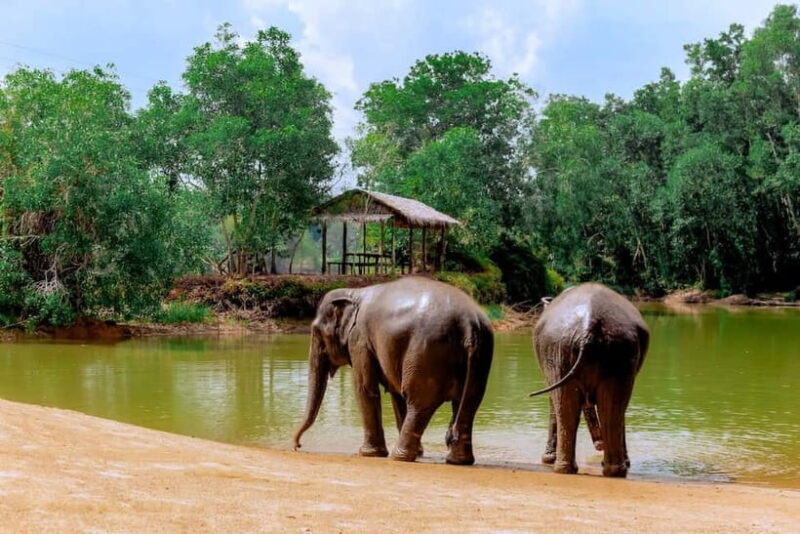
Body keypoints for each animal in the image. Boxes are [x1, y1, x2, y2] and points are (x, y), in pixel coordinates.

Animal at [292, 276, 494, 465]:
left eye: (316, 332)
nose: (297, 446)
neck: (354, 293)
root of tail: (469, 323)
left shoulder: (359, 340)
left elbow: (365, 389)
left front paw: (368, 454)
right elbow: (396, 395)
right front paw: (418, 453)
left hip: (426, 353)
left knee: (419, 403)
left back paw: (400, 457)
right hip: (480, 357)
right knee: (467, 404)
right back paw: (457, 461)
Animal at [529, 283, 649, 477]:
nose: (599, 445)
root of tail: (589, 322)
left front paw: (547, 459)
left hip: (570, 351)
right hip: (591, 352)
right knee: (608, 408)